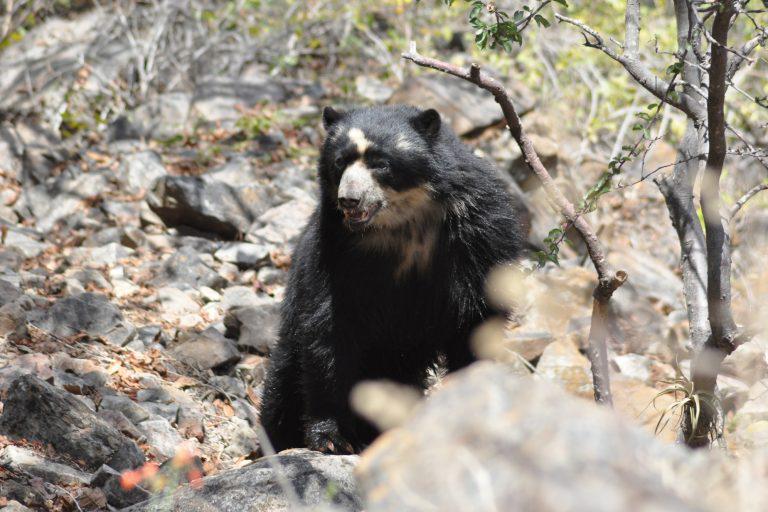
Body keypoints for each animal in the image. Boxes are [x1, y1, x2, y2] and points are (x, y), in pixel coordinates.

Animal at [260, 104, 526, 454]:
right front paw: (330, 438)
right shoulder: (333, 249)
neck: (403, 223)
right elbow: (328, 329)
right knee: (283, 385)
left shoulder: (478, 235)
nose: (349, 200)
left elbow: (477, 320)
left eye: (381, 163)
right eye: (340, 162)